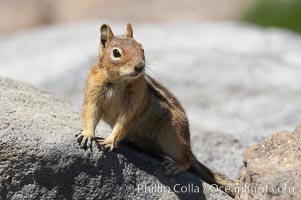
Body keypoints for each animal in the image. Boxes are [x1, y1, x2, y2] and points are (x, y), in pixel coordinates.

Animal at [75, 23, 237, 197]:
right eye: (116, 53)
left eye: (142, 49)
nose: (140, 66)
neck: (119, 81)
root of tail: (188, 147)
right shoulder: (93, 95)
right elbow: (90, 114)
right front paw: (87, 135)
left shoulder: (134, 105)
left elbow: (123, 123)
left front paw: (110, 140)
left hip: (172, 137)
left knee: (187, 161)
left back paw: (176, 165)